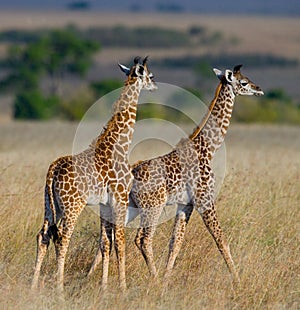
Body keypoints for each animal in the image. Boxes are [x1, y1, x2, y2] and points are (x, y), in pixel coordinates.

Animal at [31, 56, 157, 294]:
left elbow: (106, 243)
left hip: (51, 205)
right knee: (62, 239)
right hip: (72, 206)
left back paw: (32, 285)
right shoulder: (120, 198)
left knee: (43, 235)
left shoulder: (104, 204)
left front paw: (105, 288)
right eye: (150, 75)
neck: (120, 145)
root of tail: (53, 169)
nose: (154, 86)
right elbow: (119, 242)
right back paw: (60, 290)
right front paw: (123, 288)